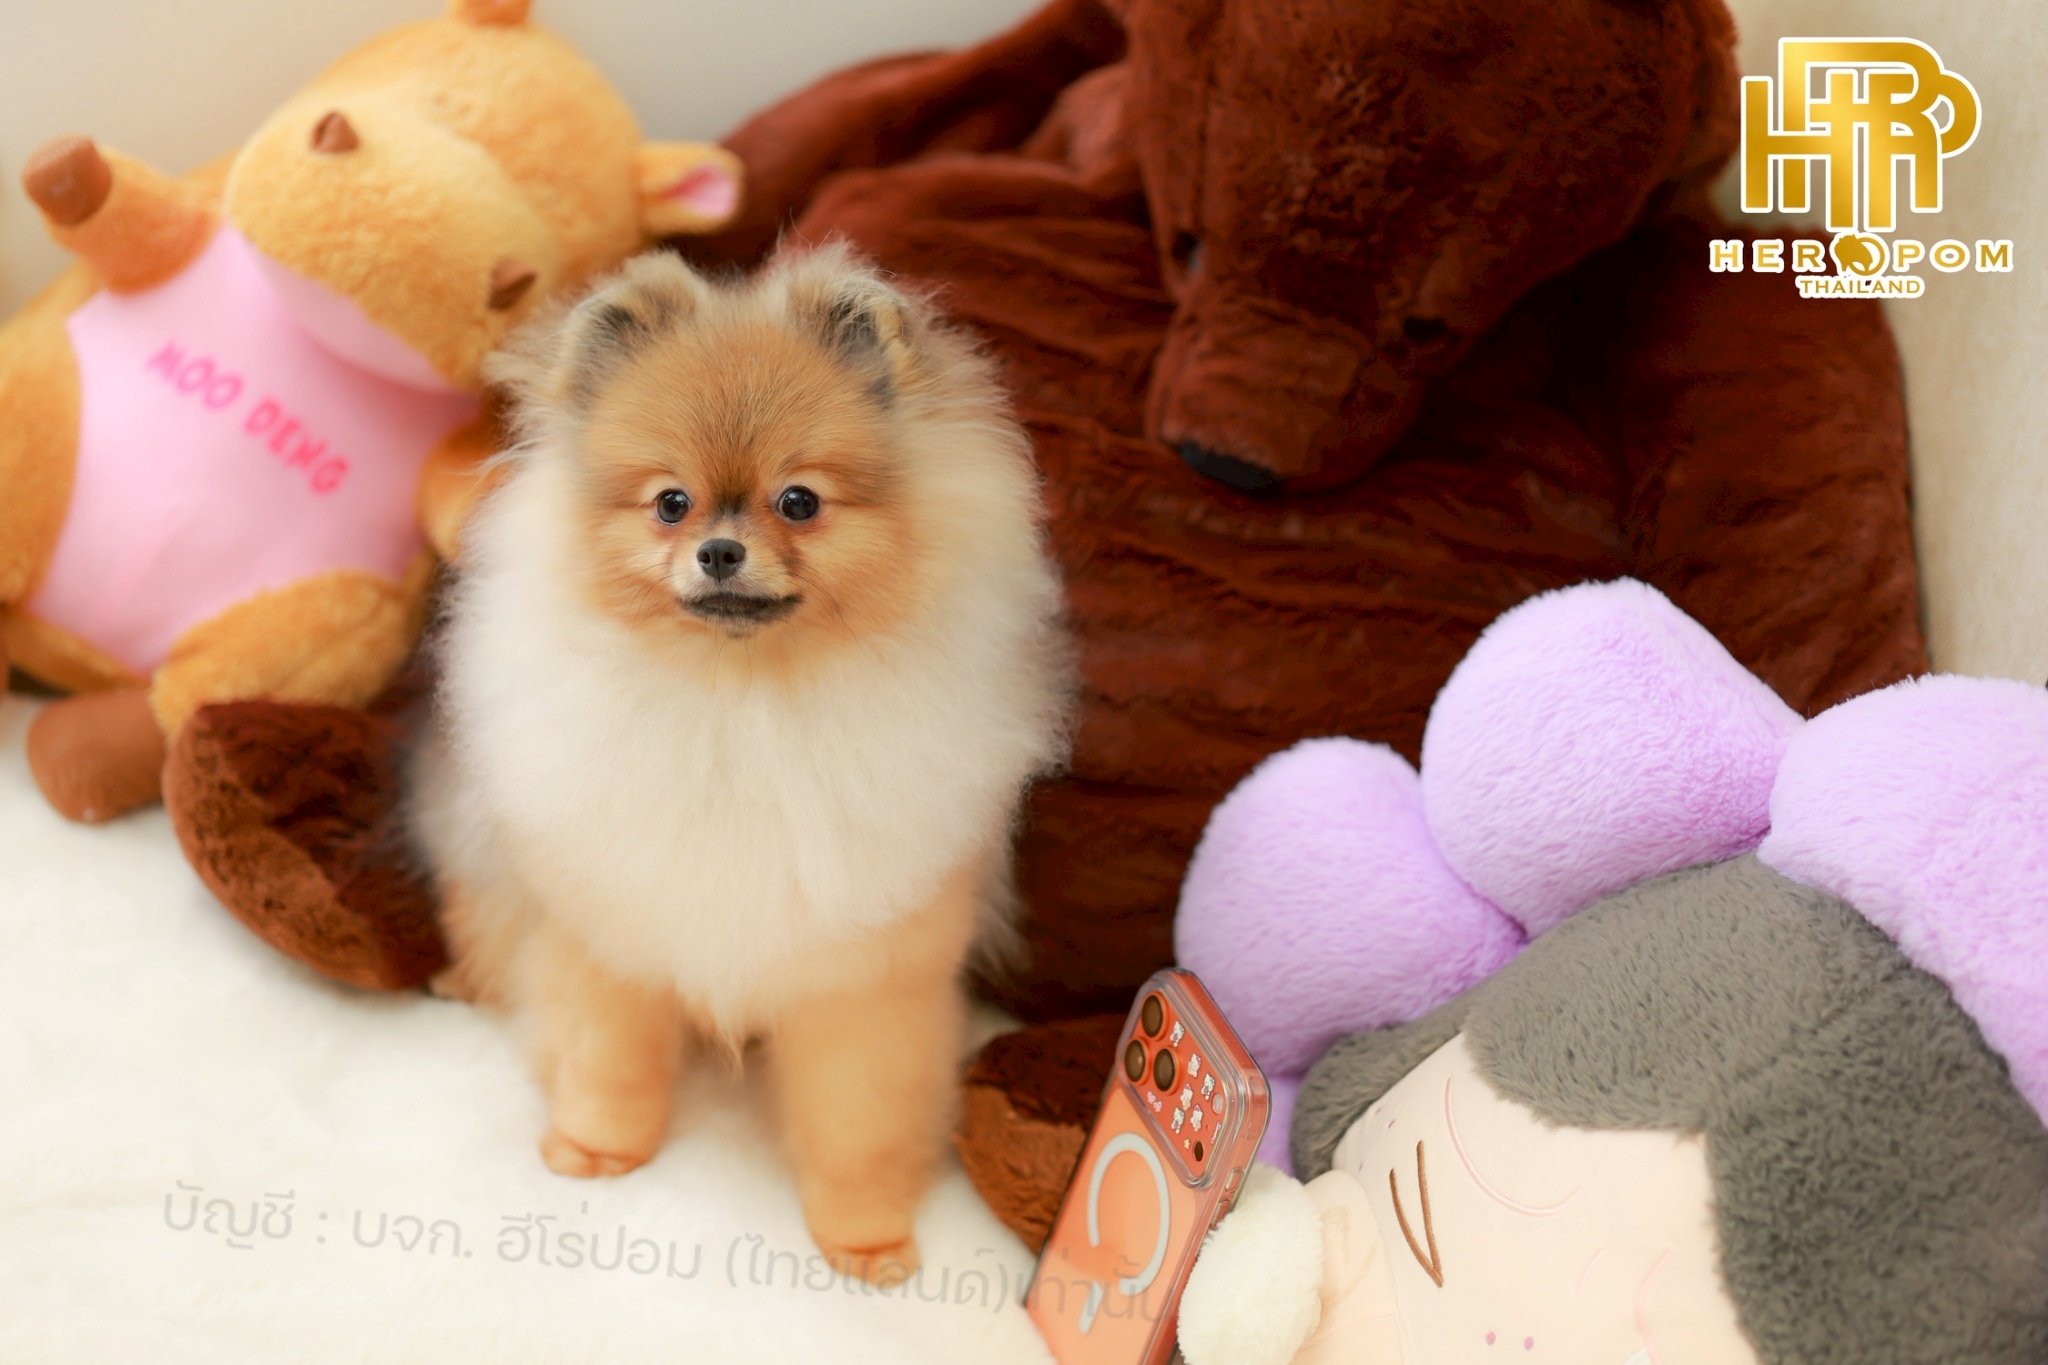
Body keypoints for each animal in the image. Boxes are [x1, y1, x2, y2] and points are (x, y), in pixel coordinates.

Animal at [409, 244, 1073, 1278]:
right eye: (670, 503)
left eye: (799, 501)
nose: (719, 549)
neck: (741, 703)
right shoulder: (603, 933)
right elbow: (605, 1058)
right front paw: (595, 1147)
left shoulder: (868, 978)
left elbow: (859, 1122)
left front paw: (867, 1236)